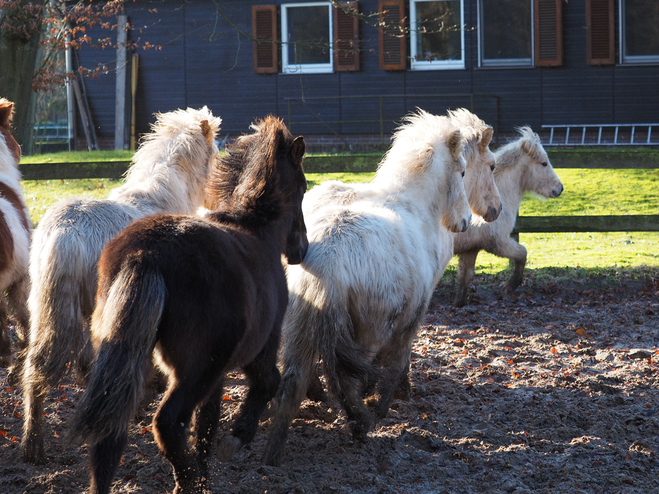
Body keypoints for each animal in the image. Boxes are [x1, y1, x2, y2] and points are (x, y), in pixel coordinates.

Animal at [71, 116, 308, 494]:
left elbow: (206, 426)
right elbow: (267, 383)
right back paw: (188, 482)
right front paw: (237, 438)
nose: (302, 250)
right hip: (196, 367)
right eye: (303, 187)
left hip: (127, 358)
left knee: (110, 437)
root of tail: (145, 255)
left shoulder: (219, 375)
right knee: (168, 422)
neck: (260, 232)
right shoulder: (261, 346)